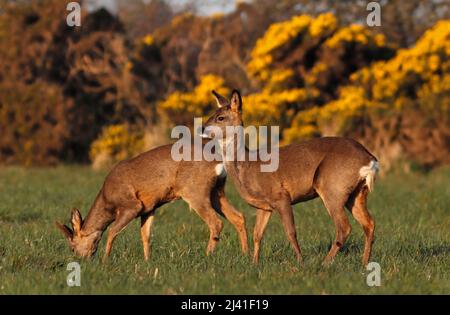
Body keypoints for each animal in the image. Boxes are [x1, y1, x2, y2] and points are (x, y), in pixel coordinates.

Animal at [55, 143, 250, 262]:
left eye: (72, 248)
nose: (82, 260)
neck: (107, 201)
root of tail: (218, 162)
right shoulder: (149, 208)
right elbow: (146, 235)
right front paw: (147, 261)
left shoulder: (132, 205)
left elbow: (112, 231)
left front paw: (105, 260)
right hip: (217, 192)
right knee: (238, 216)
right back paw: (246, 254)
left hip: (195, 191)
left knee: (216, 223)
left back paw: (208, 255)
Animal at [204, 89, 380, 266]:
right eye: (213, 113)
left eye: (220, 117)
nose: (203, 128)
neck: (248, 165)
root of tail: (369, 159)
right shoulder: (264, 206)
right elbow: (257, 235)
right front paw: (254, 263)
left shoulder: (281, 195)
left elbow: (290, 232)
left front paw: (300, 262)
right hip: (356, 192)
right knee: (369, 223)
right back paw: (364, 263)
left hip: (332, 186)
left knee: (344, 227)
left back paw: (324, 263)